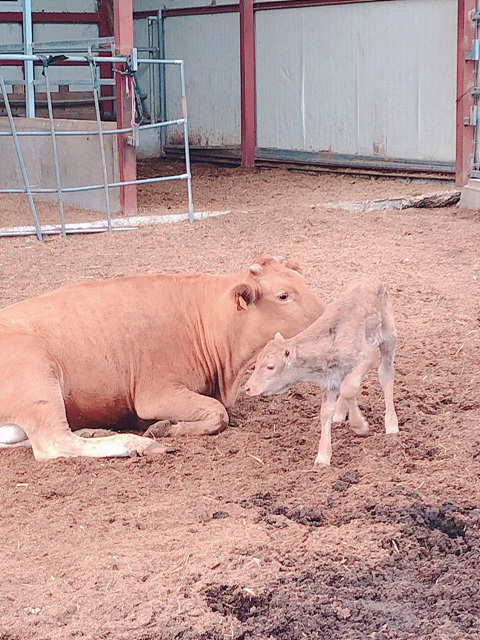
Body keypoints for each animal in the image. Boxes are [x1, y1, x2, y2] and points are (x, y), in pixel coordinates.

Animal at [0, 254, 324, 460]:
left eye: (304, 282)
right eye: (283, 295)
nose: (325, 316)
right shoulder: (155, 394)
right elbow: (219, 412)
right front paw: (165, 428)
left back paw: (93, 431)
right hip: (38, 378)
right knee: (52, 443)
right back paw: (139, 444)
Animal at [246, 278, 400, 468]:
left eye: (270, 367)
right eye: (256, 363)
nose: (248, 388)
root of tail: (372, 281)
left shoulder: (365, 357)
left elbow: (349, 389)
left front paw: (361, 426)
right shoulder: (330, 380)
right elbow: (326, 411)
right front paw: (322, 458)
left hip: (389, 337)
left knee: (385, 373)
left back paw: (392, 425)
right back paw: (340, 415)